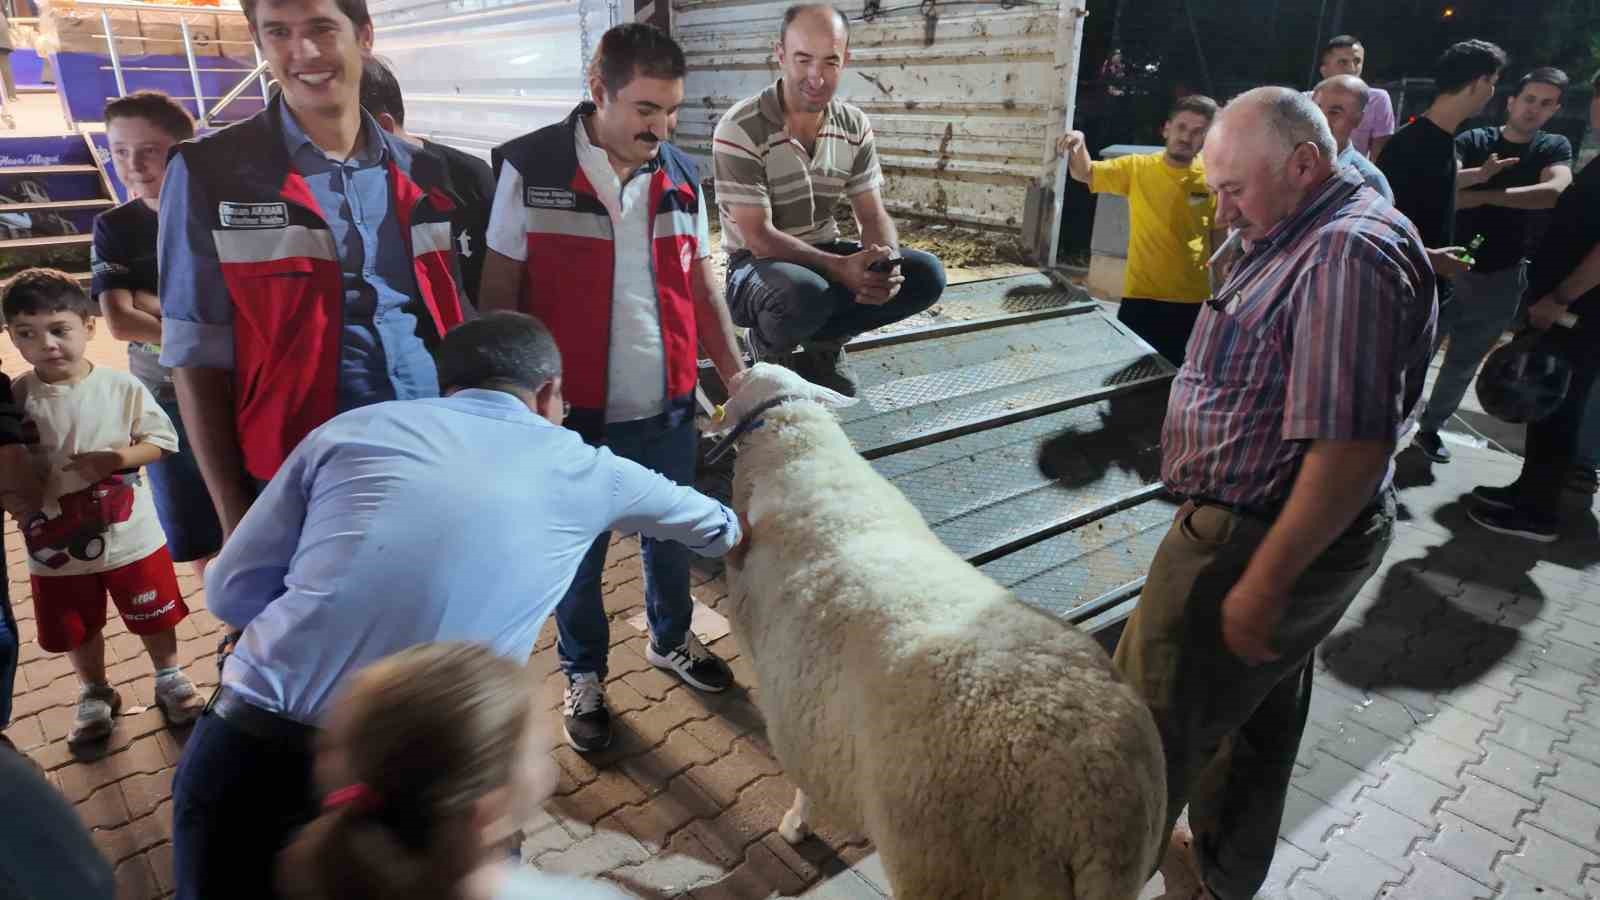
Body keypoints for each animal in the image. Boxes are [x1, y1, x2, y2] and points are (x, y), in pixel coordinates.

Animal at [720, 360, 1171, 890]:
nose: (740, 364)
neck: (797, 451)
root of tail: (1100, 815)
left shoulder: (785, 692)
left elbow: (803, 775)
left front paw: (795, 824)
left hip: (954, 863)